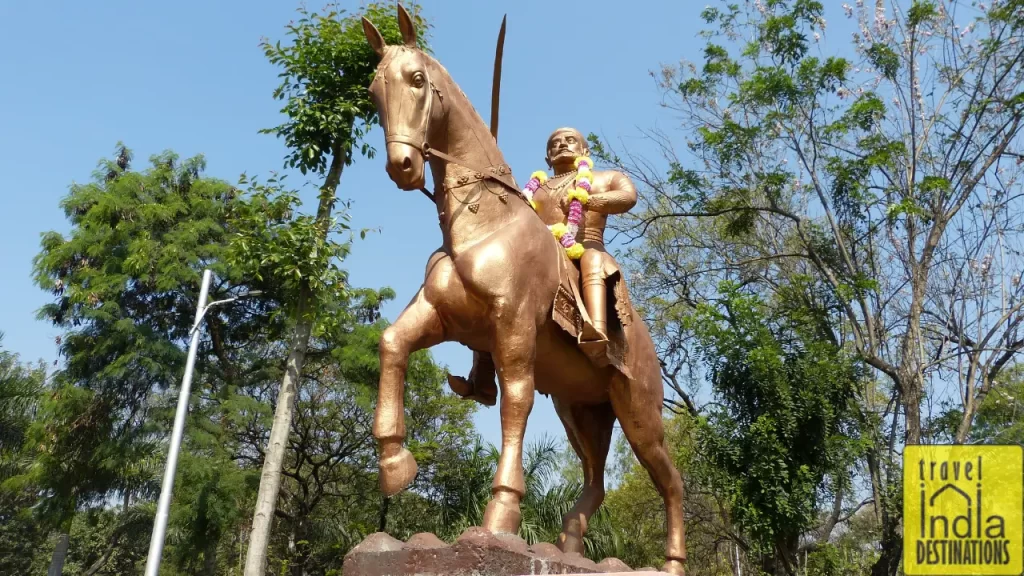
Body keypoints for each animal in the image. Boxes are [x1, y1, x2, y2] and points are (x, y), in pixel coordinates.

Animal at [362, 6, 688, 569]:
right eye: (373, 90)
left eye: (418, 79)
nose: (402, 167)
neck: (481, 225)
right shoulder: (441, 316)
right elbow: (392, 345)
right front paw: (395, 462)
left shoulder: (513, 327)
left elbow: (515, 402)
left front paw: (501, 514)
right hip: (582, 411)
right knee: (596, 481)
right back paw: (571, 546)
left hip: (639, 413)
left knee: (670, 481)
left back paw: (671, 561)